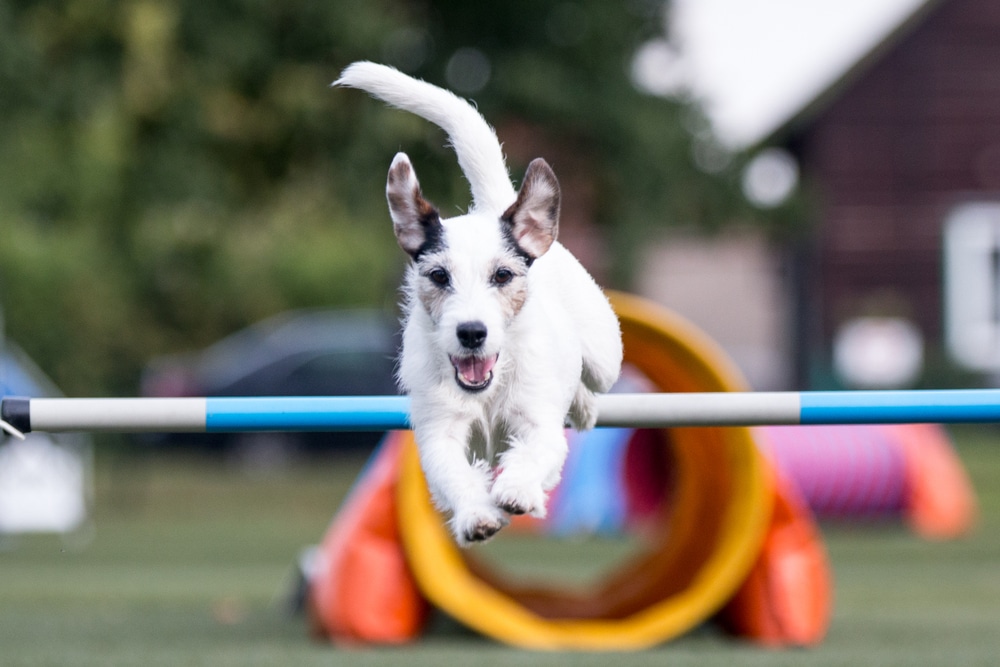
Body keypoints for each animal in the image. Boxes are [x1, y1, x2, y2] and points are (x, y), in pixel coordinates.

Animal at [332, 62, 620, 544]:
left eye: (502, 275)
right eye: (438, 276)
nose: (471, 333)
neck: (489, 388)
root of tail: (493, 205)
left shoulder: (538, 422)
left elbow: (535, 451)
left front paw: (518, 490)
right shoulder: (439, 432)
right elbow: (453, 473)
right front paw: (477, 514)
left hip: (605, 355)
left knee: (591, 376)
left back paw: (583, 405)